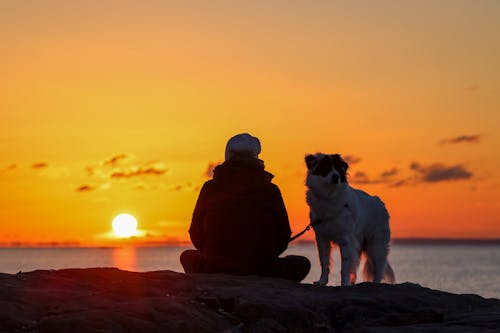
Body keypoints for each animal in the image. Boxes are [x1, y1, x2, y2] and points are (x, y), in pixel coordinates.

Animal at [304, 153, 394, 286]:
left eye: (338, 168)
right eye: (326, 167)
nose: (336, 177)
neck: (329, 195)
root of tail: (379, 202)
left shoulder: (345, 238)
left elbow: (345, 265)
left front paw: (345, 283)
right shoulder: (322, 237)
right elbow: (324, 262)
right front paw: (322, 281)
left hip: (376, 244)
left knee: (378, 267)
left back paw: (375, 283)